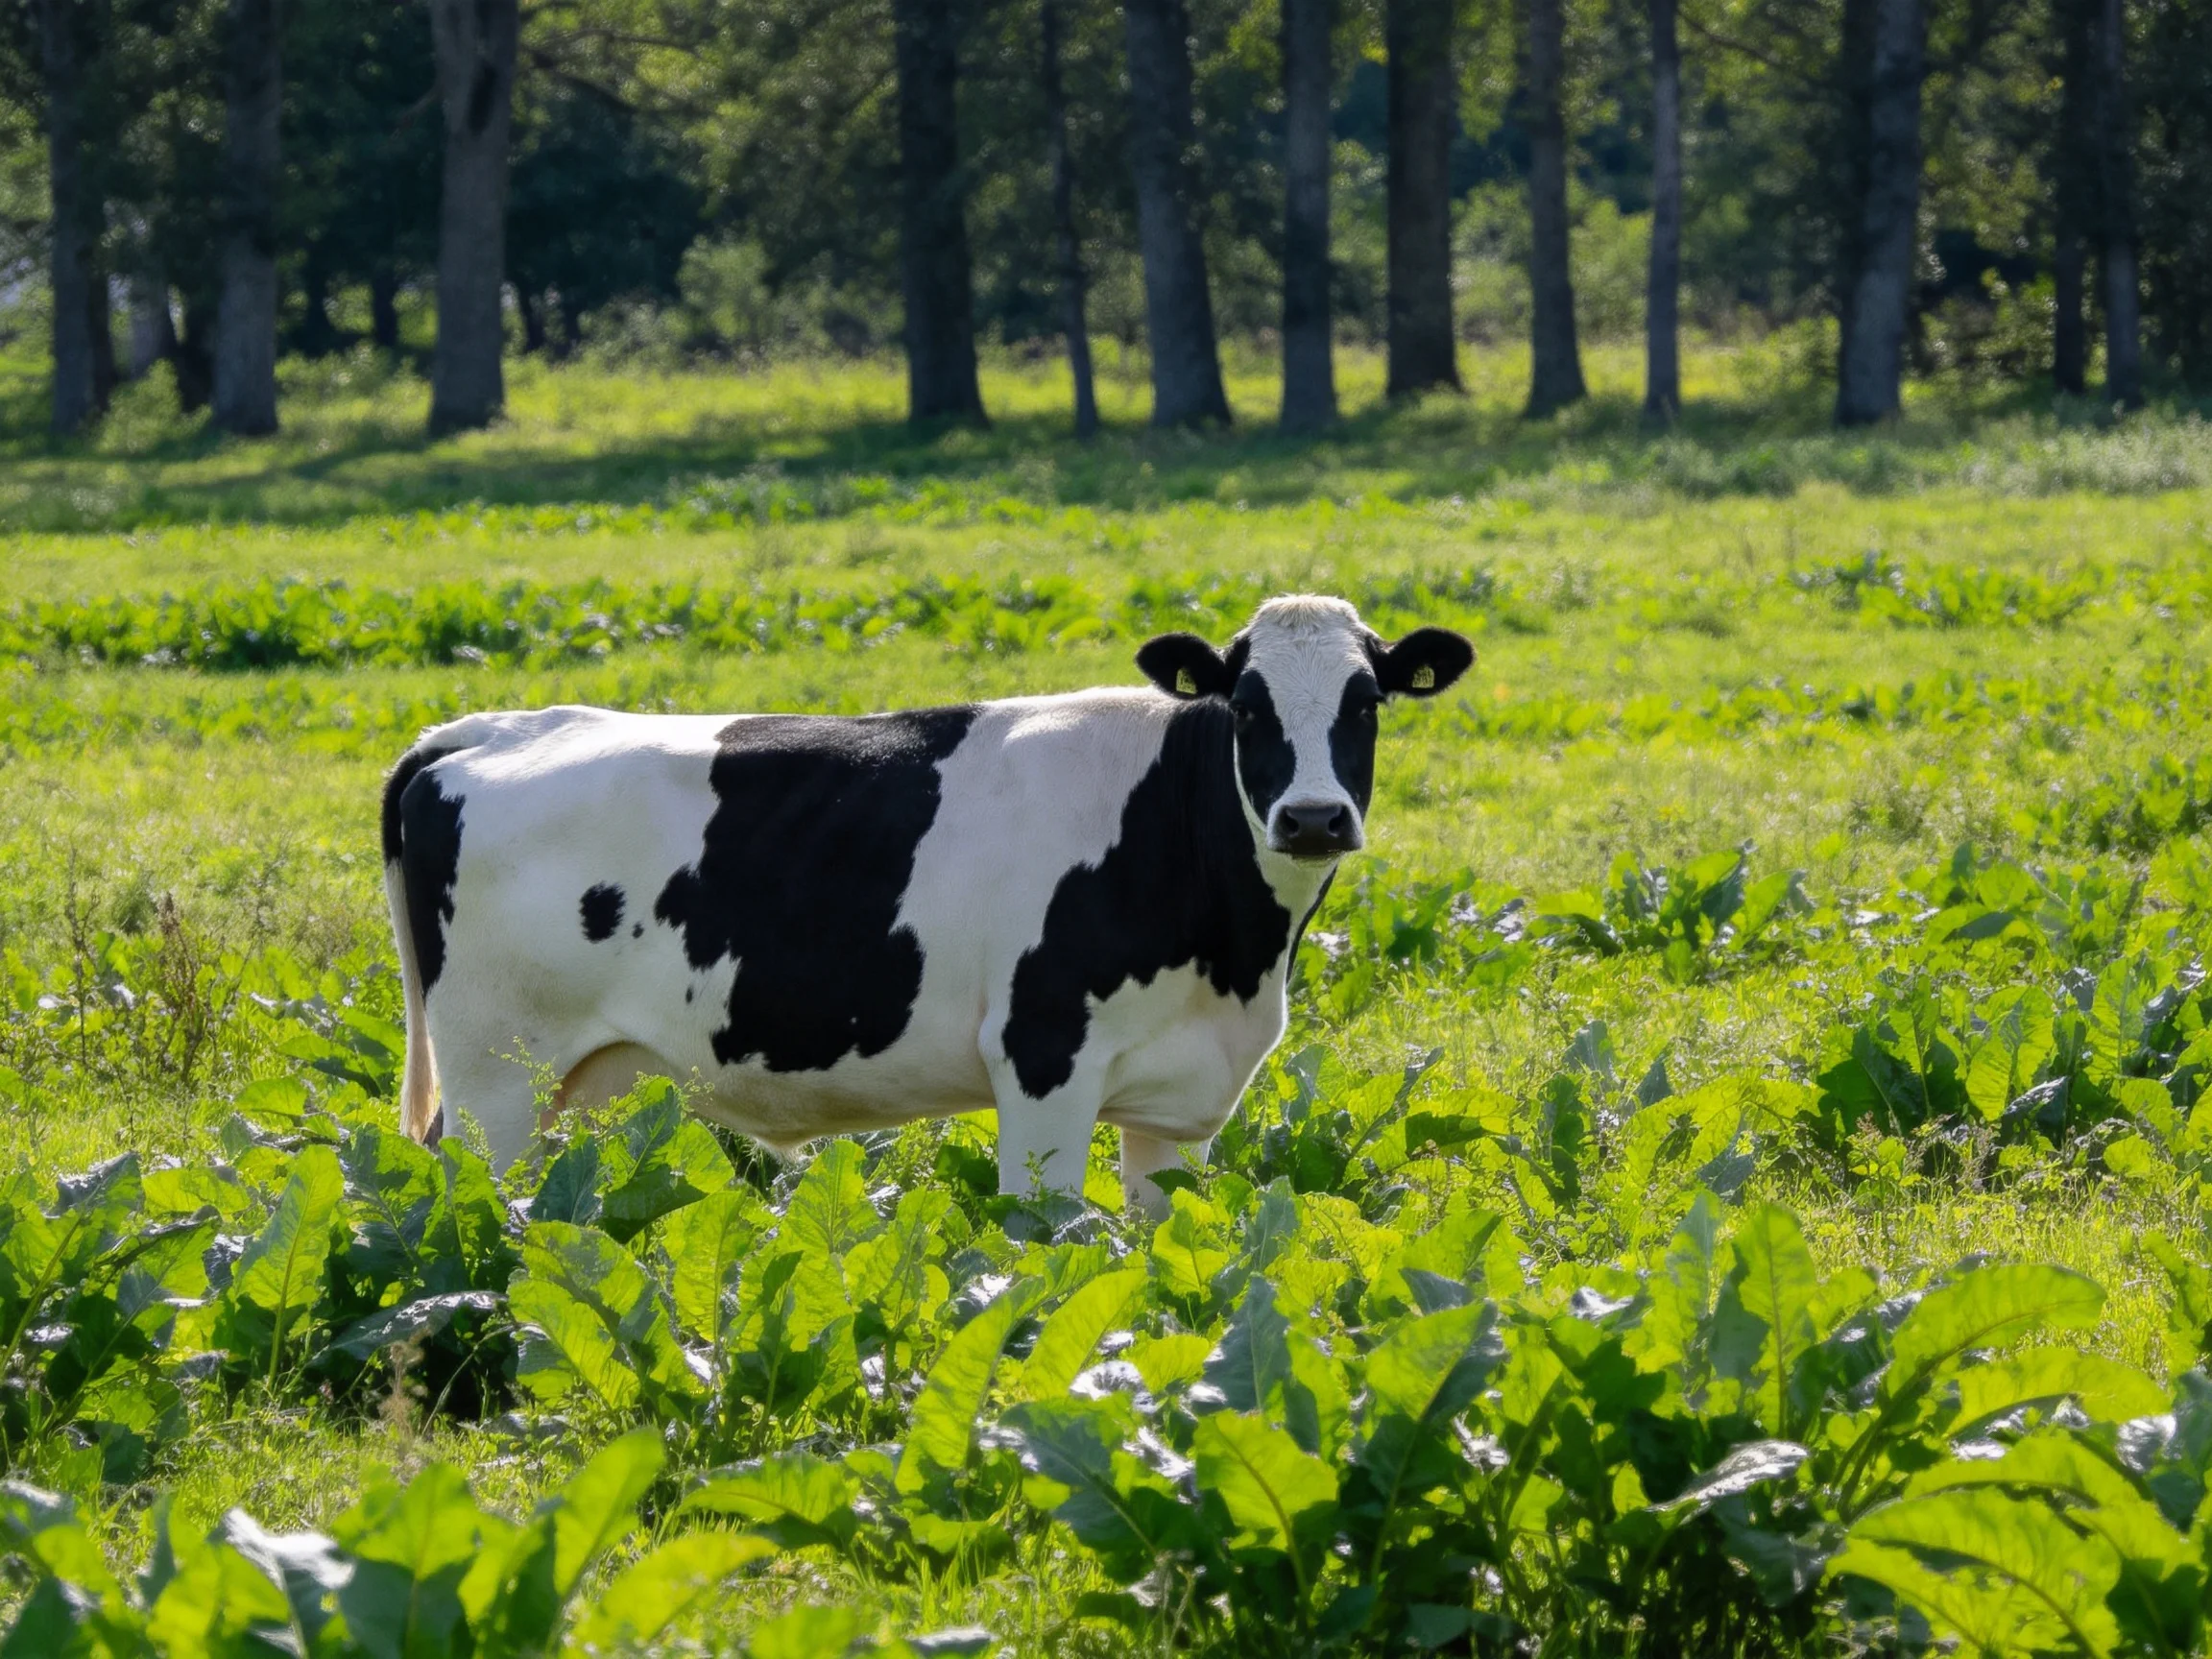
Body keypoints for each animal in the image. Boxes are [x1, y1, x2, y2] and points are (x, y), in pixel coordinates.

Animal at [380, 594, 1471, 1211]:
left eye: (1366, 703)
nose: (1313, 817)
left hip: (554, 1087)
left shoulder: (1174, 1099)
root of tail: (485, 729)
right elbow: (1046, 1236)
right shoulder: (1042, 1059)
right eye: (1246, 706)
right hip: (493, 1081)